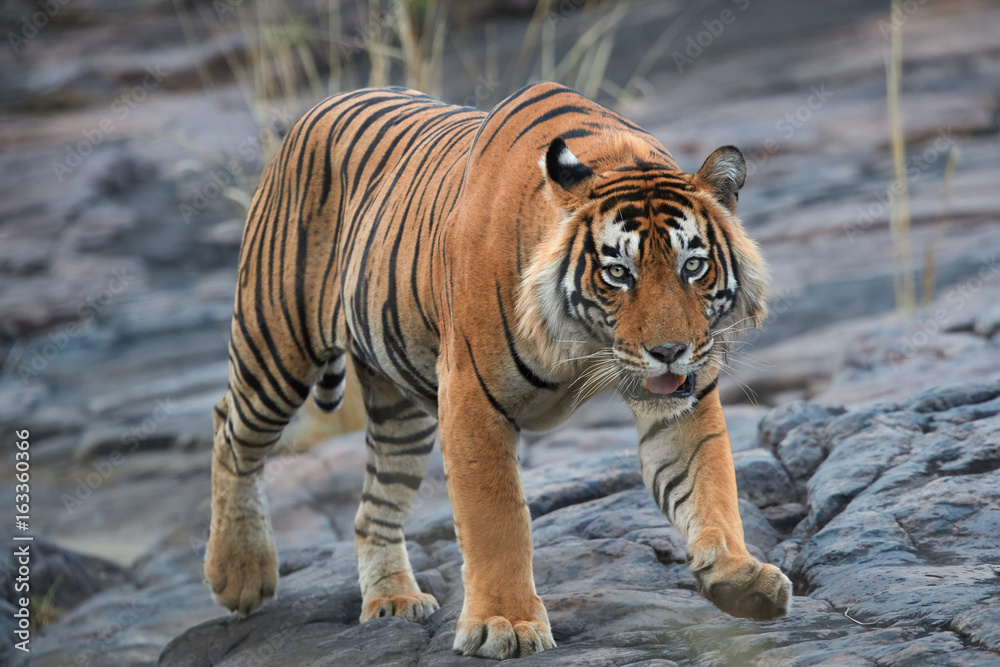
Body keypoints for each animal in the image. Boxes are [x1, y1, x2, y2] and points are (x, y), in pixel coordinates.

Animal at [204, 81, 792, 659]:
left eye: (692, 265)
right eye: (618, 273)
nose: (669, 350)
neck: (582, 343)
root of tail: (318, 106)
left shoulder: (682, 403)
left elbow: (708, 484)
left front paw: (739, 576)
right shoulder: (470, 399)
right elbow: (497, 518)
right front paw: (504, 623)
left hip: (400, 407)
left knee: (373, 506)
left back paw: (392, 600)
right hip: (276, 343)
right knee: (231, 429)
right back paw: (239, 572)